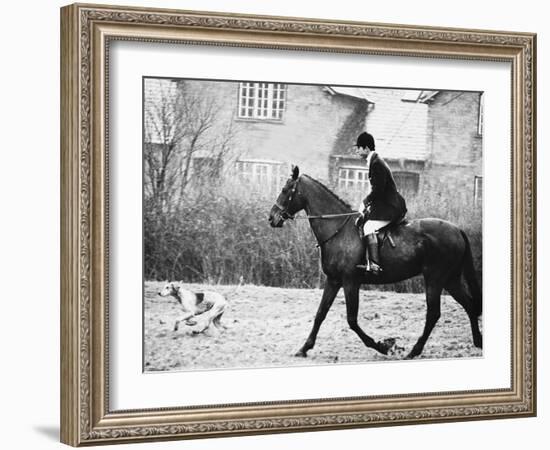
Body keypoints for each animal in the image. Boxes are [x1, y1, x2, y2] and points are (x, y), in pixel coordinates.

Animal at [270, 165, 486, 358]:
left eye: (285, 190)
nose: (272, 218)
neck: (338, 229)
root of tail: (457, 229)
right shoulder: (333, 280)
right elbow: (320, 314)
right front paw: (304, 348)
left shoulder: (350, 282)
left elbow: (352, 320)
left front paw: (383, 346)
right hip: (450, 279)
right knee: (468, 305)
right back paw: (478, 342)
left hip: (435, 278)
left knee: (434, 314)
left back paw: (414, 351)